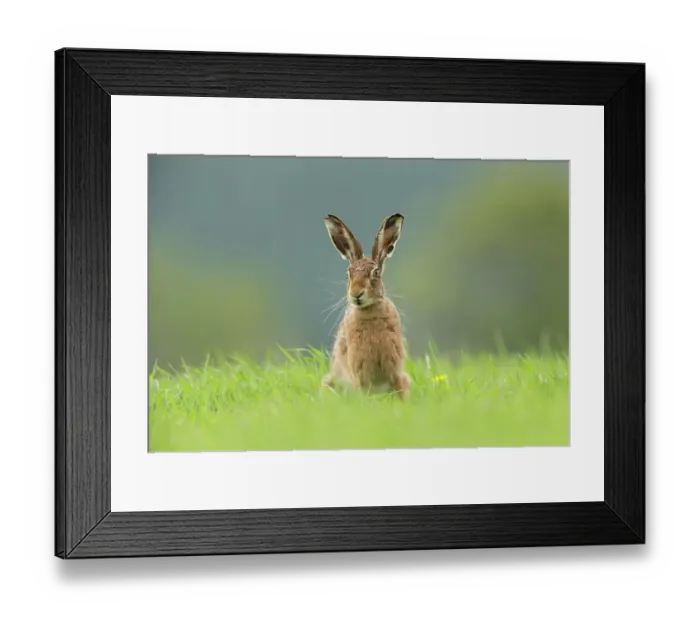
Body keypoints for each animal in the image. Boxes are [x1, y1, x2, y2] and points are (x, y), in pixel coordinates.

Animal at [321, 213, 411, 400]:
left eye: (375, 273)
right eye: (348, 274)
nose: (356, 294)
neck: (370, 312)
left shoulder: (395, 369)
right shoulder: (360, 373)